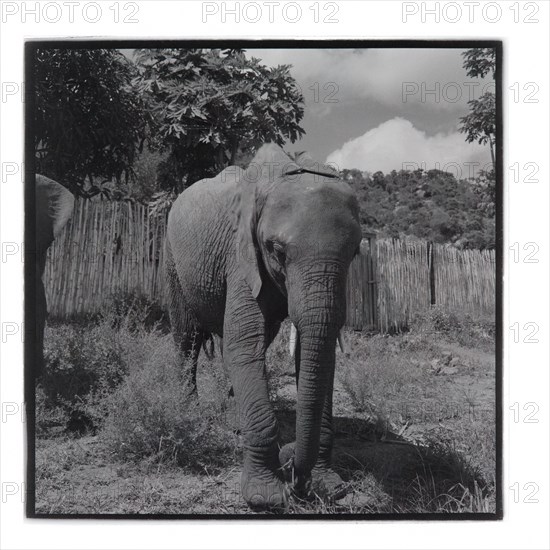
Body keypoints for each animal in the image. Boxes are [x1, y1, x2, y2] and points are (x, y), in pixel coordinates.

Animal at [164, 143, 362, 512]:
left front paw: (330, 486)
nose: (293, 469)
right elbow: (244, 344)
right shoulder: (240, 255)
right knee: (188, 336)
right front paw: (266, 497)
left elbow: (316, 354)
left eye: (355, 252)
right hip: (172, 258)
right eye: (276, 250)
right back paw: (187, 411)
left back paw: (233, 416)